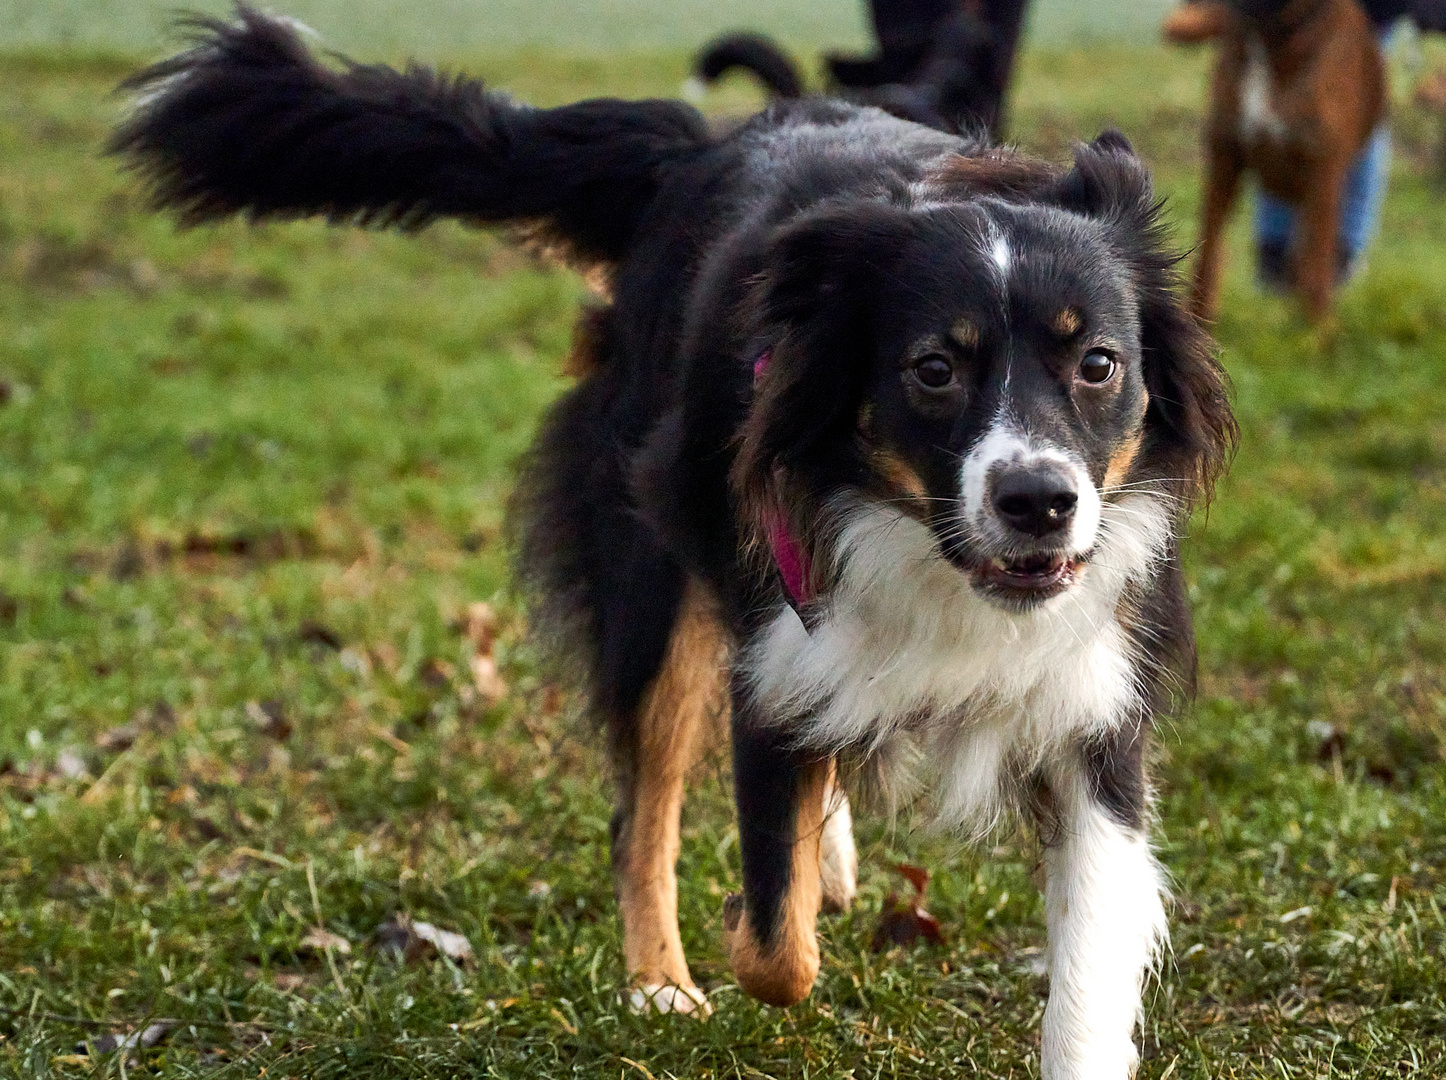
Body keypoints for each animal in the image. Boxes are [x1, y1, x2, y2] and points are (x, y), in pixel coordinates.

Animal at [118, 6, 1237, 1075]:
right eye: (933, 370)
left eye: (1098, 364)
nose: (1039, 502)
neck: (933, 554)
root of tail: (692, 149)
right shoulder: (778, 650)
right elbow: (775, 943)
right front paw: (758, 911)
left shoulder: (1096, 696)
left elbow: (1089, 962)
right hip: (650, 566)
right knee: (642, 809)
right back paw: (663, 979)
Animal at [1174, 0, 1388, 320]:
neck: (1269, 37)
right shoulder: (1224, 160)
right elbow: (1207, 259)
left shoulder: (1323, 174)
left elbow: (1318, 272)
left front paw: (1316, 331)